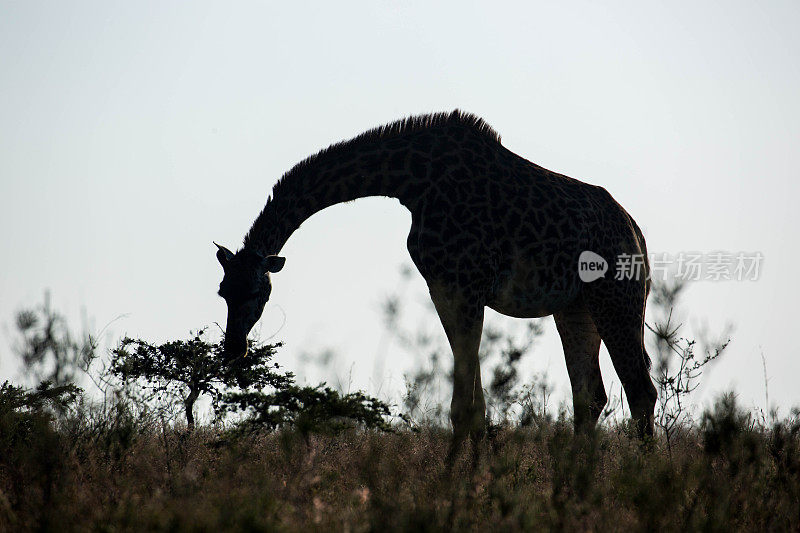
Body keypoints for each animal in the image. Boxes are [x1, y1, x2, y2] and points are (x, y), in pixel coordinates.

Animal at [214, 111, 656, 444]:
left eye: (256, 292)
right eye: (222, 292)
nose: (234, 350)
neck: (411, 183)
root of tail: (637, 233)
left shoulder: (466, 285)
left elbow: (463, 403)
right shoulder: (443, 288)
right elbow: (474, 403)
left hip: (617, 297)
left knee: (640, 389)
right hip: (575, 307)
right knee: (591, 397)